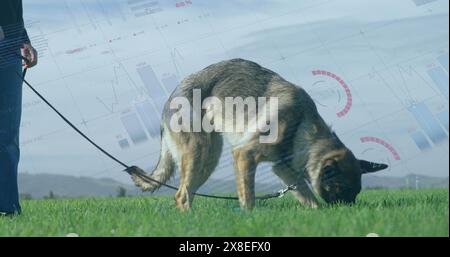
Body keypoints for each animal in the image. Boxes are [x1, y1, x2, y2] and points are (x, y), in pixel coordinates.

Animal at [126, 58, 386, 210]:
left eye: (355, 193)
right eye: (340, 190)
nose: (347, 211)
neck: (300, 125)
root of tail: (169, 99)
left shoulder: (285, 170)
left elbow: (309, 198)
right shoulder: (245, 155)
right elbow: (248, 197)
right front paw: (250, 218)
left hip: (207, 159)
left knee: (186, 193)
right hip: (201, 153)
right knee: (181, 195)